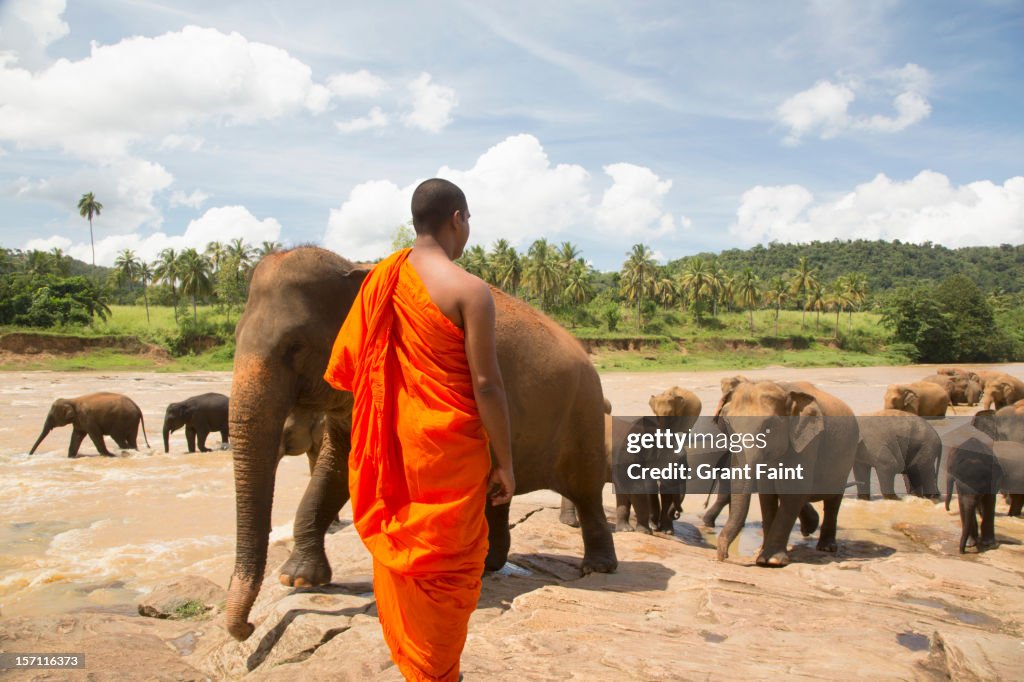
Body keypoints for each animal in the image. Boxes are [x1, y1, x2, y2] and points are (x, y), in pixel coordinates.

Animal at [224, 246, 614, 638]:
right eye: (236, 337)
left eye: (295, 346)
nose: (248, 628)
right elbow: (335, 469)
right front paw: (299, 580)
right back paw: (490, 563)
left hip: (584, 415)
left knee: (586, 491)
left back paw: (598, 568)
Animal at [712, 378, 856, 565]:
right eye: (729, 424)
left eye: (768, 426)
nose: (723, 557)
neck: (783, 389)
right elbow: (767, 494)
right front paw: (761, 554)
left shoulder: (807, 443)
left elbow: (793, 491)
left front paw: (772, 560)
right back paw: (810, 526)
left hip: (846, 458)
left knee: (833, 499)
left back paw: (826, 547)